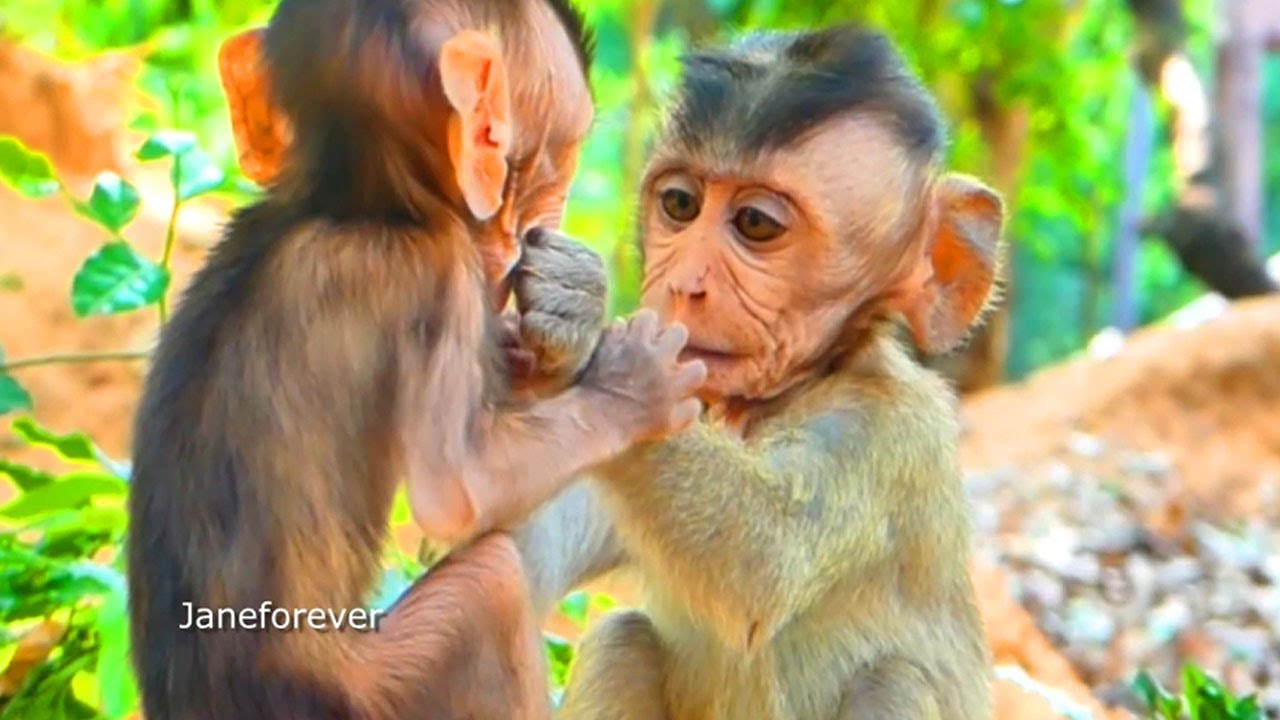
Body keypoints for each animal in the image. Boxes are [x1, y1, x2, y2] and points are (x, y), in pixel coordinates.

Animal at [127, 1, 706, 719]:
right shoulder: (441, 272)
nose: (534, 233)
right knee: (492, 585)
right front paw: (631, 388)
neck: (352, 203)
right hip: (378, 693)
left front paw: (569, 308)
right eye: (562, 166)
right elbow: (458, 488)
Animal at [541, 27, 1004, 720]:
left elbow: (765, 560)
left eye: (755, 223)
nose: (684, 284)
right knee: (621, 640)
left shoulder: (887, 431)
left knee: (894, 680)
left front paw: (604, 351)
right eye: (679, 204)